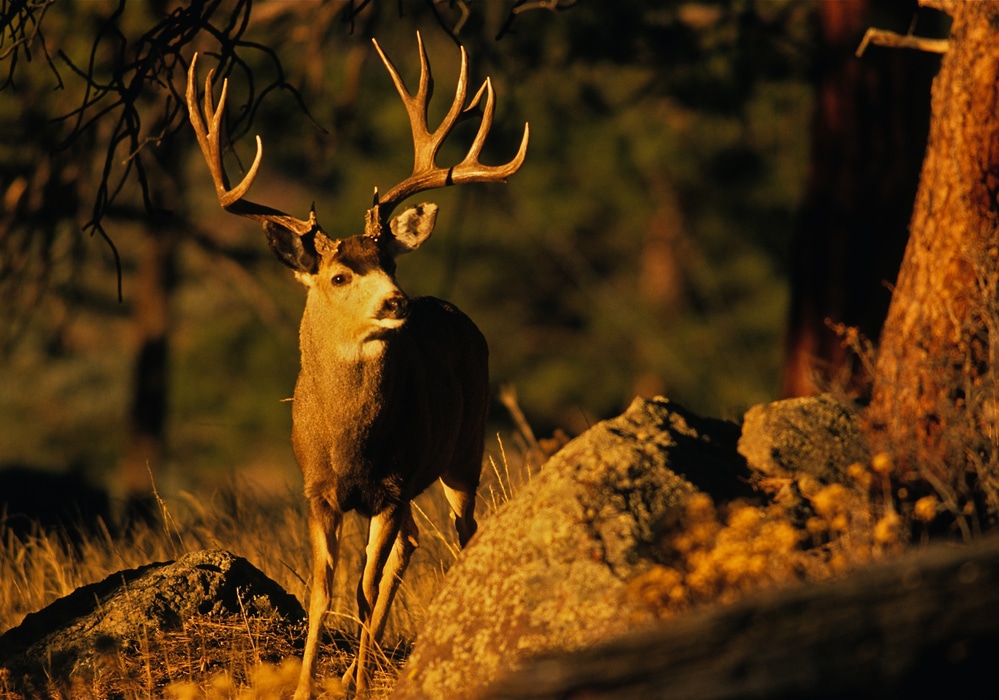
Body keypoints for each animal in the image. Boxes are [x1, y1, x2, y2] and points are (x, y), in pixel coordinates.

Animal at [188, 34, 532, 700]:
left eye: (391, 263)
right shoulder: (318, 490)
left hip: (465, 450)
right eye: (340, 275)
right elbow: (324, 591)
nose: (398, 302)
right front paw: (305, 687)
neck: (350, 443)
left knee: (460, 535)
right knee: (413, 545)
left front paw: (354, 683)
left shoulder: (391, 487)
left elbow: (364, 588)